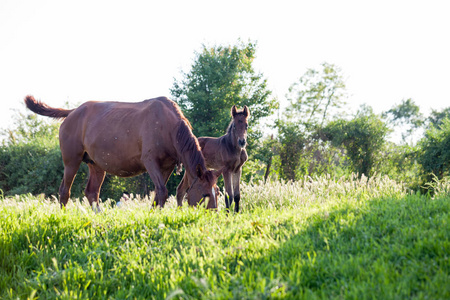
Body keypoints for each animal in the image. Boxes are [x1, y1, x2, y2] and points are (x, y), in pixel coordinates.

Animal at [25, 95, 221, 210]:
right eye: (205, 194)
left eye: (218, 192)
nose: (213, 214)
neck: (169, 127)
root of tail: (72, 111)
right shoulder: (151, 162)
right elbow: (162, 190)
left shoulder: (168, 166)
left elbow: (160, 192)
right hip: (71, 161)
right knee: (65, 191)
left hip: (96, 165)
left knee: (92, 192)